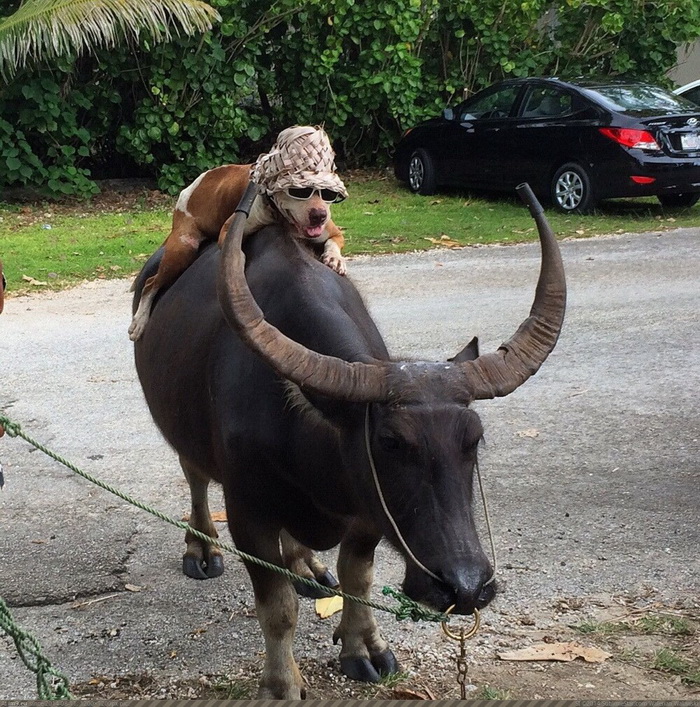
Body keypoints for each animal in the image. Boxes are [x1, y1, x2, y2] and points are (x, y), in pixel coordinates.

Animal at [129, 127, 348, 342]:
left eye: (328, 194)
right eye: (299, 191)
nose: (319, 215)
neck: (281, 217)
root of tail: (192, 186)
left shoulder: (334, 232)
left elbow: (333, 242)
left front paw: (335, 259)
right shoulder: (228, 231)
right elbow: (237, 252)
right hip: (184, 247)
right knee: (150, 283)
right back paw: (139, 321)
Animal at [134, 183, 568, 696]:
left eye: (474, 439)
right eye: (390, 442)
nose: (465, 587)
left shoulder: (368, 512)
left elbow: (357, 578)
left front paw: (364, 647)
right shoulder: (248, 512)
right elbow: (278, 608)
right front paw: (281, 685)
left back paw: (304, 566)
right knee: (196, 478)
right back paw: (202, 549)